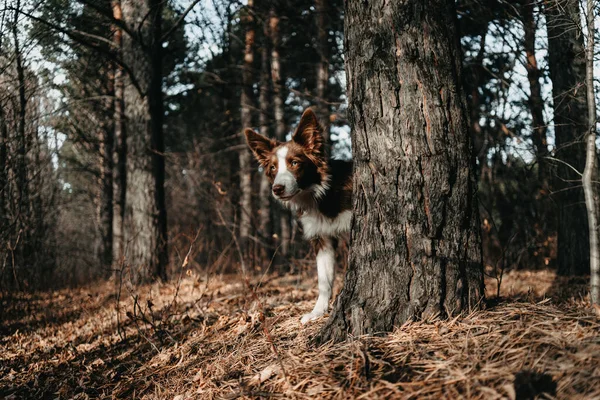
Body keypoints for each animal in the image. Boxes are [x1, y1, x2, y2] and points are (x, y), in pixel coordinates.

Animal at [246, 108, 354, 324]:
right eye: (272, 168)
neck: (322, 193)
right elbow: (324, 280)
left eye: (294, 163)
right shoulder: (321, 237)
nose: (277, 189)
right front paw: (318, 312)